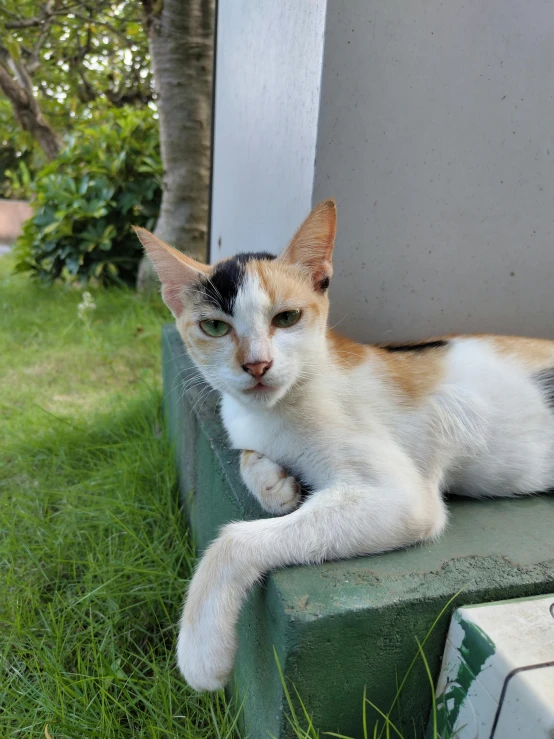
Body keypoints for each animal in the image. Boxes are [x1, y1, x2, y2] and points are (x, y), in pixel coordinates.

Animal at [134, 198, 552, 692]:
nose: (257, 364)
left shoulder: (402, 497)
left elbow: (234, 539)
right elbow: (247, 454)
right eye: (215, 327)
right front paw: (275, 485)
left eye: (287, 318)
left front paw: (200, 651)